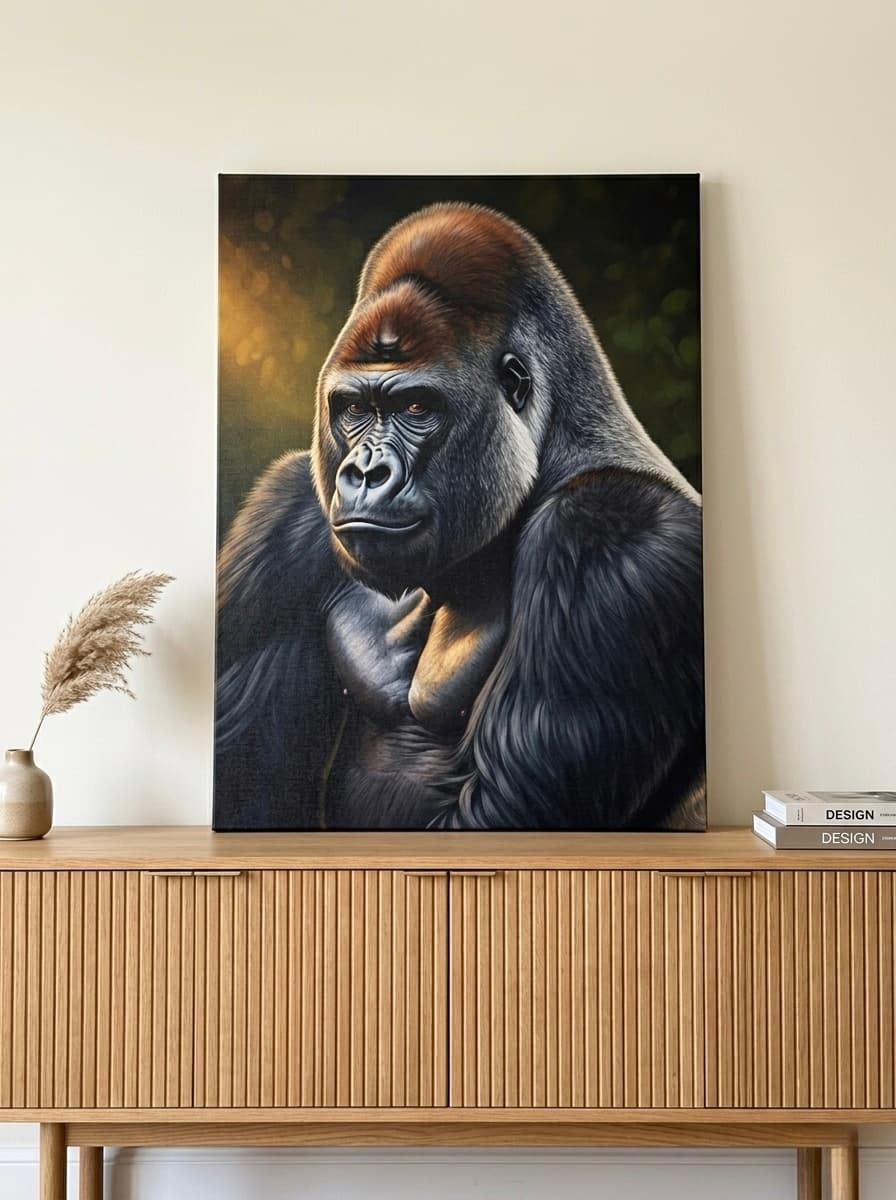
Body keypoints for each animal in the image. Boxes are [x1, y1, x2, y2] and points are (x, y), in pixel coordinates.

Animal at [213, 202, 705, 831]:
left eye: (414, 406)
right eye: (353, 408)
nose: (365, 472)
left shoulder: (611, 536)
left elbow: (504, 807)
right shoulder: (287, 517)